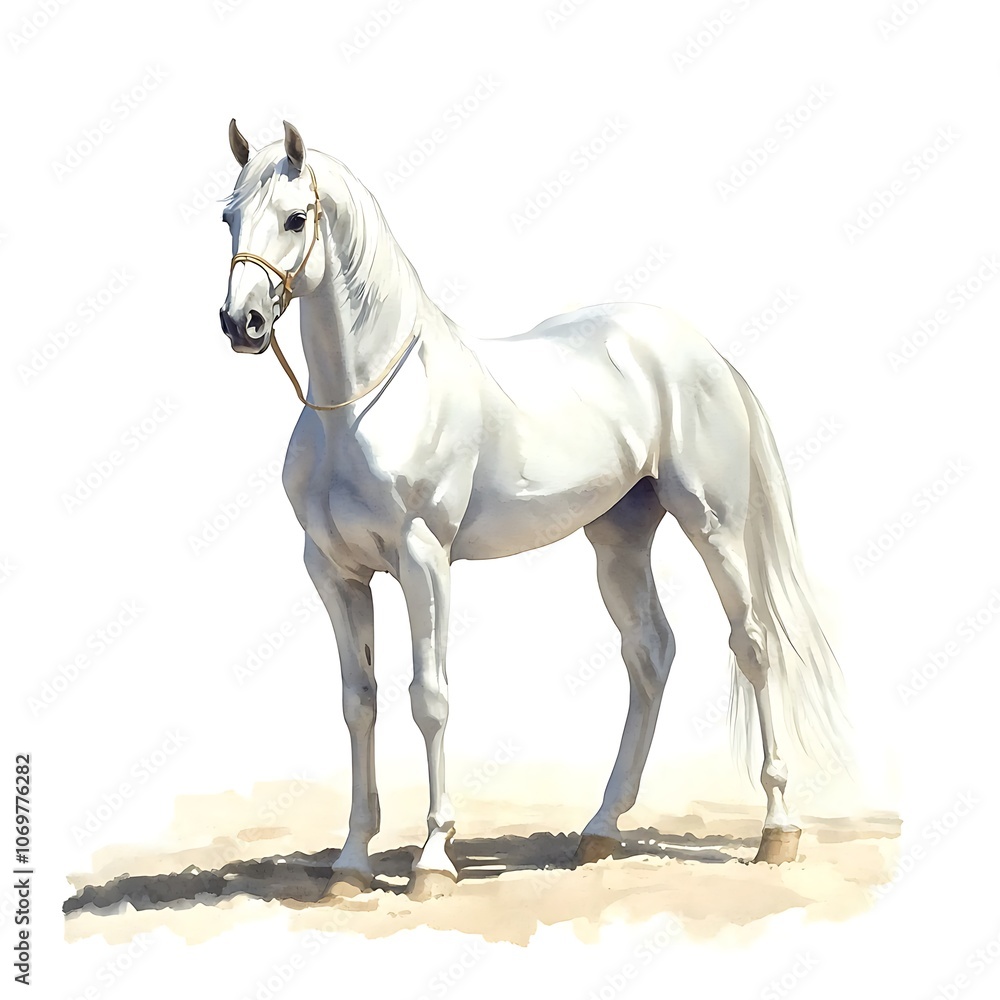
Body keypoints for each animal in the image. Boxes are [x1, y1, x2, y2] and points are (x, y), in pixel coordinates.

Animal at [218, 120, 848, 898]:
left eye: (295, 218)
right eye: (228, 217)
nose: (240, 322)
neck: (367, 401)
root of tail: (701, 351)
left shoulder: (425, 562)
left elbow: (429, 698)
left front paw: (433, 859)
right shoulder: (336, 573)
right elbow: (358, 701)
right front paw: (352, 863)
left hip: (714, 526)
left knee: (753, 644)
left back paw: (777, 831)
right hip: (618, 540)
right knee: (651, 653)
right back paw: (601, 829)